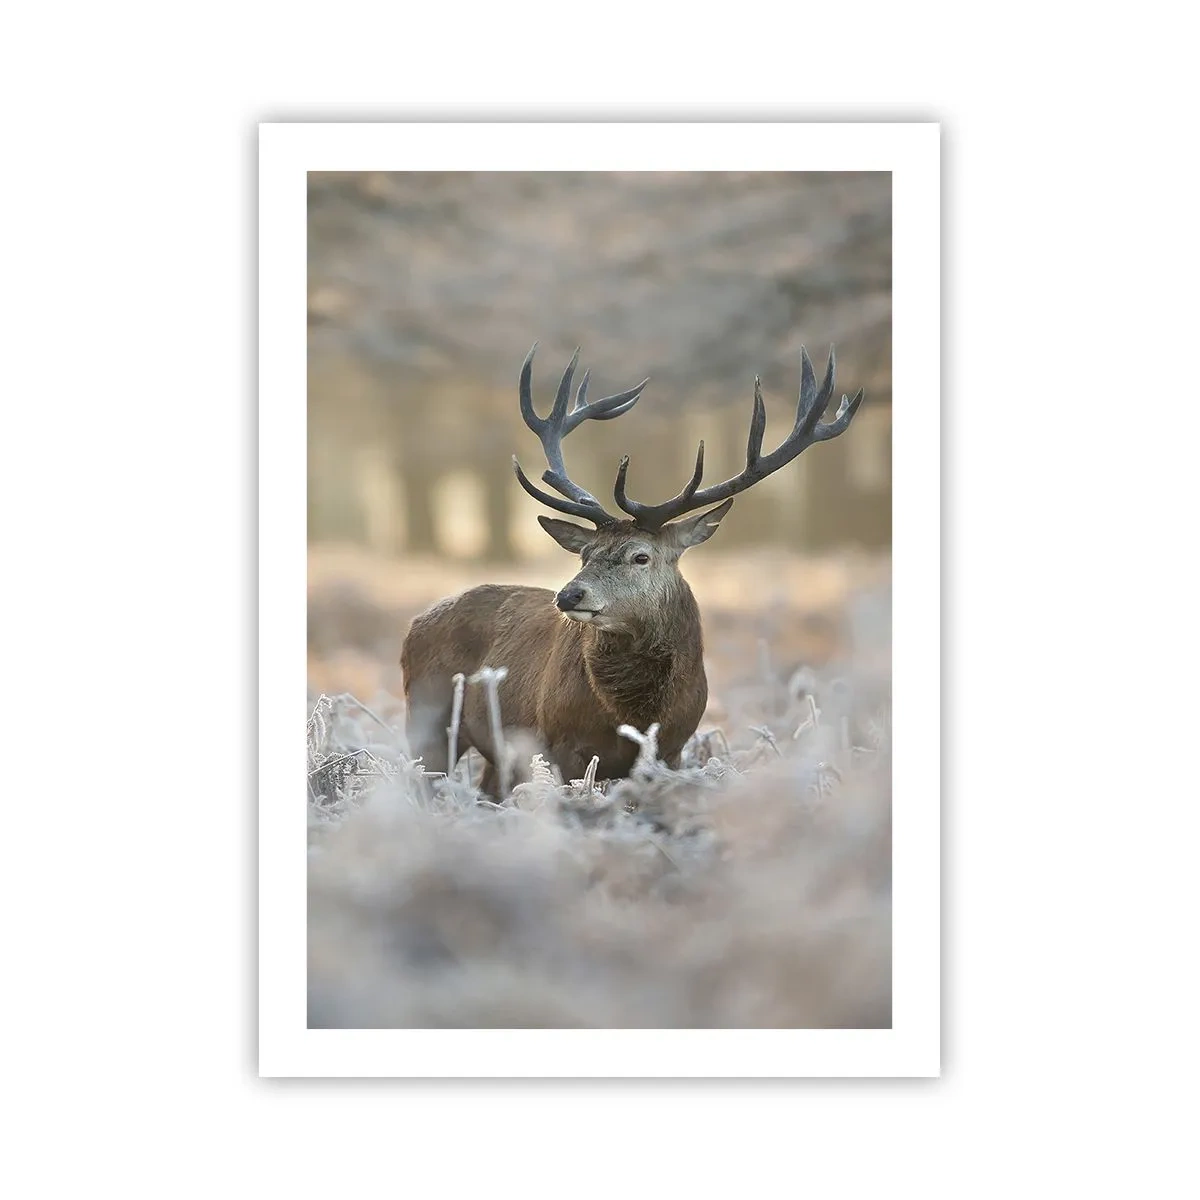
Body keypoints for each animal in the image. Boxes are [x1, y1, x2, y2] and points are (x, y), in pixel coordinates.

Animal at [400, 343, 863, 798]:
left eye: (641, 556)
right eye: (585, 554)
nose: (569, 595)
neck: (635, 713)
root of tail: (415, 623)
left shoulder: (672, 749)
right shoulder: (559, 746)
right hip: (425, 716)